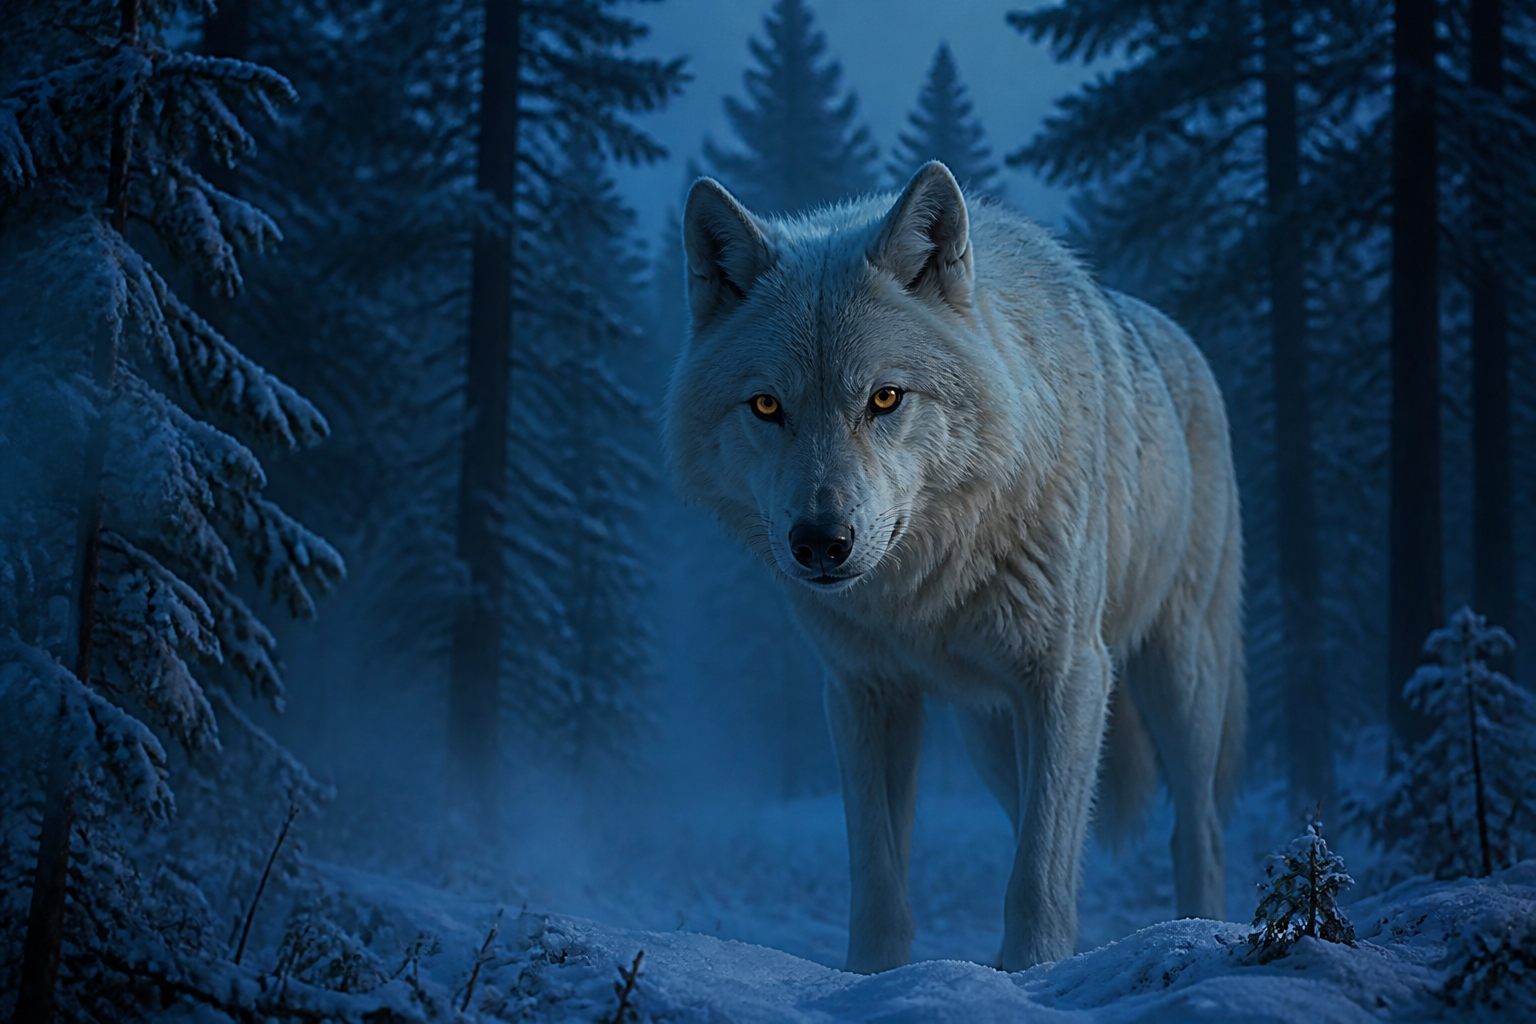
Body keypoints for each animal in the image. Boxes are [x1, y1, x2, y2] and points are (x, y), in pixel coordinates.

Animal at [664, 162, 1244, 974]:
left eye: (884, 397)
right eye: (768, 406)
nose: (821, 541)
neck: (922, 593)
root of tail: (1174, 334)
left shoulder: (1070, 677)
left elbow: (1037, 875)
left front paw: (1031, 972)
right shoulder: (864, 694)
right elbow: (879, 877)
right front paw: (875, 977)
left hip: (1179, 679)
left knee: (1199, 833)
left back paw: (1200, 928)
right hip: (989, 739)